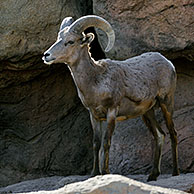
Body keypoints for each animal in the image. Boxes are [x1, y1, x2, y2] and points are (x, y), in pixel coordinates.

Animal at [42, 14, 179, 181]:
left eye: (70, 41)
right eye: (58, 38)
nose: (46, 55)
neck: (96, 80)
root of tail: (168, 63)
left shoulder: (111, 112)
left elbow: (106, 142)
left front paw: (106, 172)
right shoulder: (94, 116)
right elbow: (96, 143)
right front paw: (94, 173)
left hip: (167, 103)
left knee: (173, 134)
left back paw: (175, 173)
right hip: (148, 112)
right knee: (159, 135)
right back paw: (152, 176)